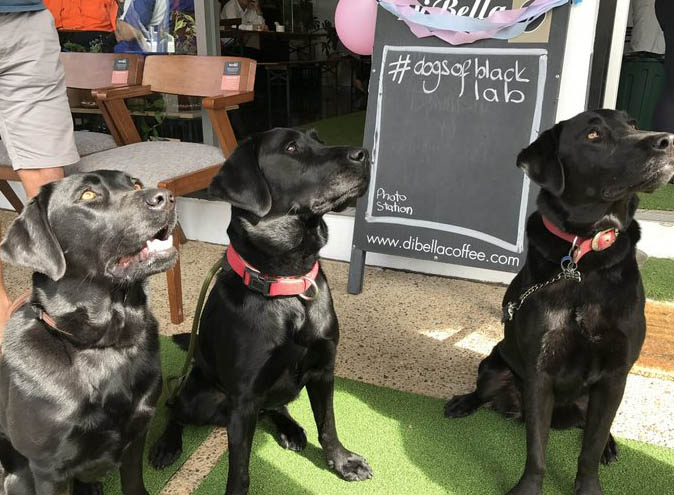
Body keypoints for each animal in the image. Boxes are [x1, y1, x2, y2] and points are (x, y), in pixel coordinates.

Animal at [0, 171, 177, 495]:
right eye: (88, 195)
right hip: (18, 475)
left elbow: (134, 483)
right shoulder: (48, 469)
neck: (104, 345)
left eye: (134, 184)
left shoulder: (137, 432)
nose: (166, 198)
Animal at [150, 129, 372, 495]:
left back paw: (289, 428)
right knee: (174, 409)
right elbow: (240, 470)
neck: (288, 283)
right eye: (292, 148)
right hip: (199, 395)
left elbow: (327, 423)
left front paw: (342, 462)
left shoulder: (324, 371)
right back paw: (167, 444)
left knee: (275, 405)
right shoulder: (244, 399)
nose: (365, 153)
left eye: (319, 139)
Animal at [444, 109, 668, 495]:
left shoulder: (615, 376)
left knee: (597, 427)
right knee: (484, 392)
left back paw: (610, 446)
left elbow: (589, 449)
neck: (583, 256)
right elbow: (537, 450)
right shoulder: (540, 373)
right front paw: (527, 489)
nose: (666, 141)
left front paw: (589, 486)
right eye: (593, 135)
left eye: (633, 125)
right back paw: (463, 402)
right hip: (493, 365)